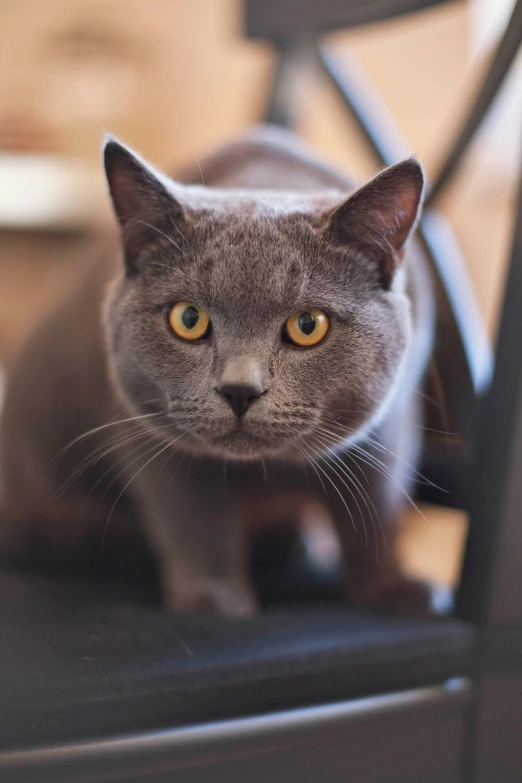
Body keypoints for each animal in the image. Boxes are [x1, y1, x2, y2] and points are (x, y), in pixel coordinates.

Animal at [0, 129, 430, 616]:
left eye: (308, 325)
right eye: (188, 318)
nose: (240, 390)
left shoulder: (387, 423)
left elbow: (375, 508)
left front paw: (391, 586)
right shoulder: (145, 429)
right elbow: (193, 517)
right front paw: (212, 596)